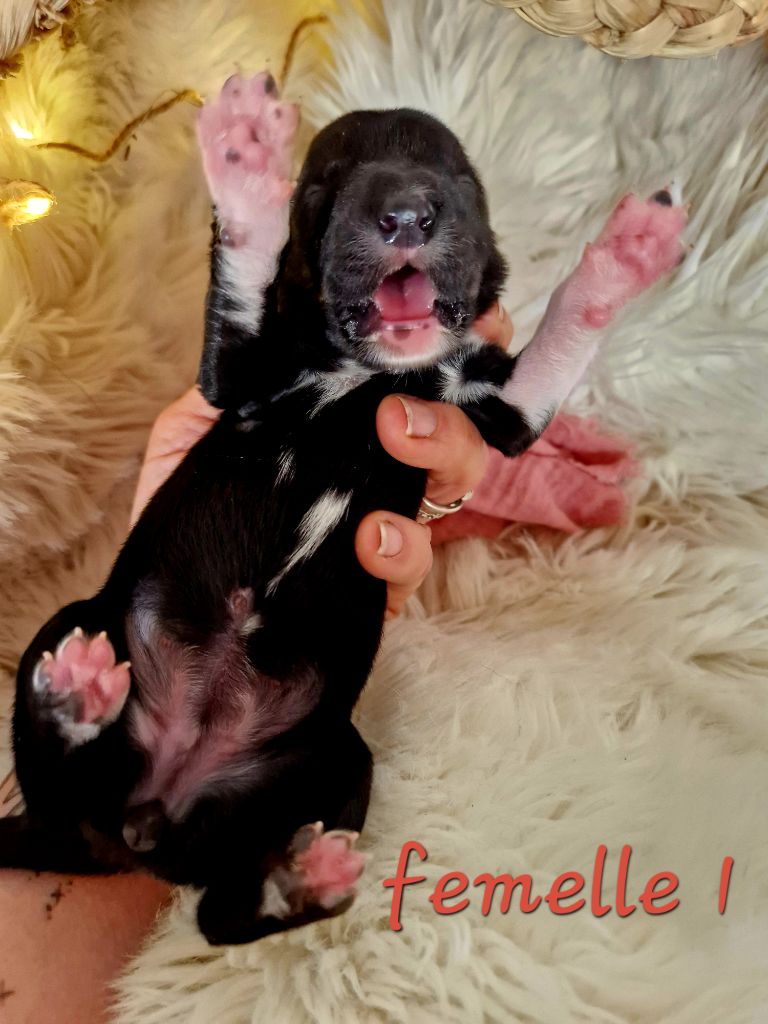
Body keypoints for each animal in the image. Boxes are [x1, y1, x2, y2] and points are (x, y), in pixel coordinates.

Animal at [0, 72, 686, 945]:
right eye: (323, 185)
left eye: (461, 180)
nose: (405, 213)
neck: (371, 378)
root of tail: (150, 817)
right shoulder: (238, 375)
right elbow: (245, 274)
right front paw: (244, 153)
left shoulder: (501, 412)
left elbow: (567, 332)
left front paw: (627, 255)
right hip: (76, 625)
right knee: (66, 777)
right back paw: (74, 697)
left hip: (334, 761)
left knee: (221, 912)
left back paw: (299, 880)